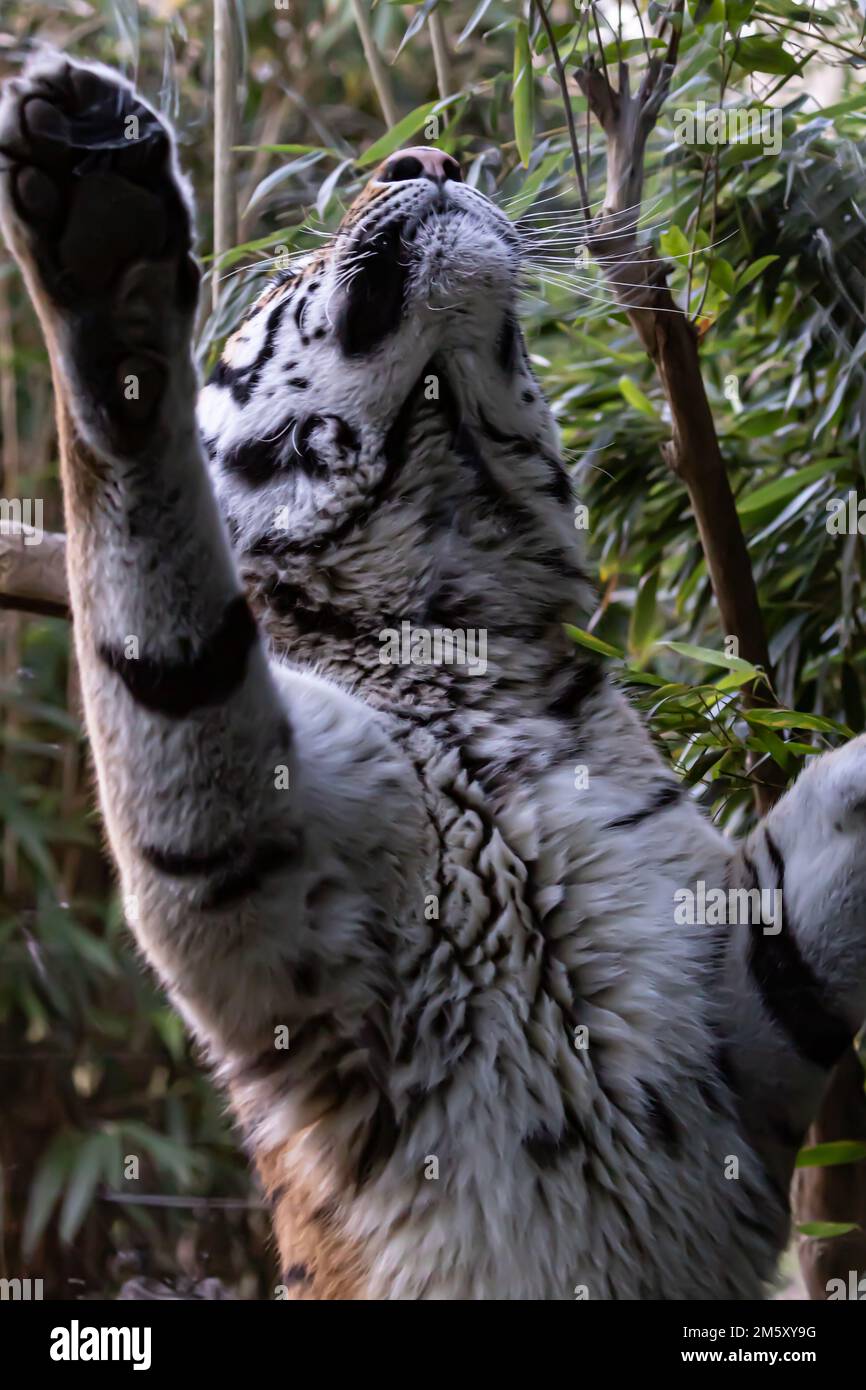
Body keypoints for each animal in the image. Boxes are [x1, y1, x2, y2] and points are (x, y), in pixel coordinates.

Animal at [2, 52, 865, 1301]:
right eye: (288, 273)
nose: (428, 156)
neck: (456, 637)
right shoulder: (255, 896)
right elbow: (158, 607)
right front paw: (106, 251)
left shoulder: (726, 1025)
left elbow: (821, 861)